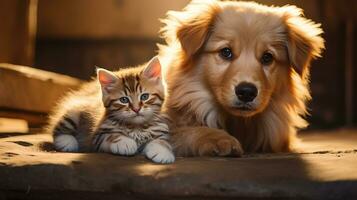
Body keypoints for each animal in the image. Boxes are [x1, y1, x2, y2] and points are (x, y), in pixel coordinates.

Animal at [159, 0, 322, 156]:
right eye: (226, 52)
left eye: (267, 57)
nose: (247, 92)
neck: (238, 122)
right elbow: (185, 130)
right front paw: (219, 138)